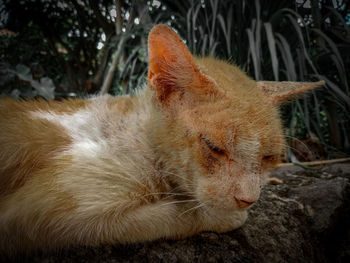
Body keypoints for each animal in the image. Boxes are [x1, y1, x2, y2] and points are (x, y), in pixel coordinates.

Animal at [0, 24, 322, 256]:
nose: (248, 199)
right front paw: (227, 216)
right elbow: (178, 215)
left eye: (269, 158)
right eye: (214, 148)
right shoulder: (37, 217)